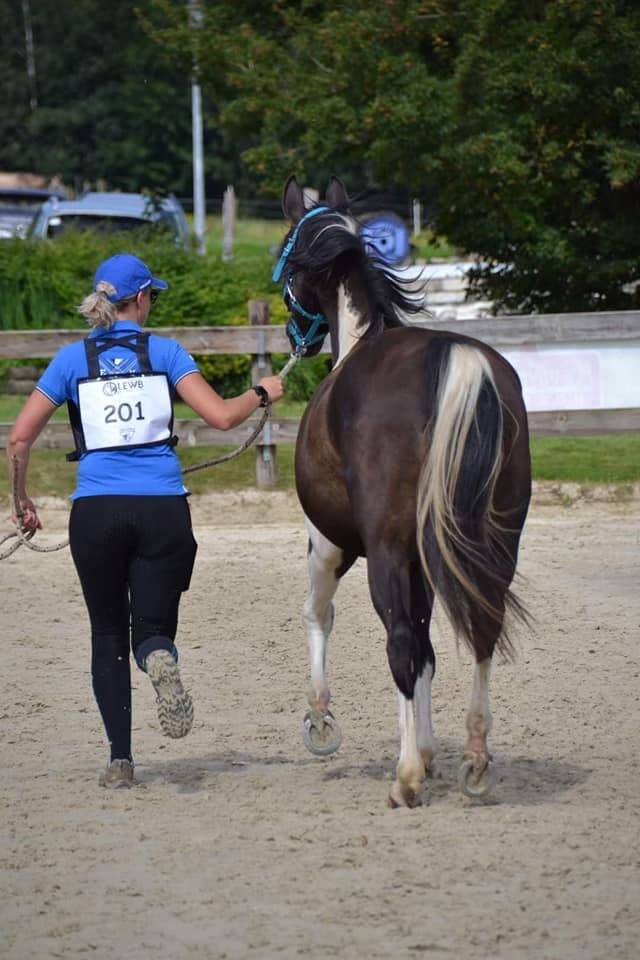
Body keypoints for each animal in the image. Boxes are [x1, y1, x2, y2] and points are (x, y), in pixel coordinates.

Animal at [274, 176, 531, 807]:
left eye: (287, 258)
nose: (294, 337)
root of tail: (454, 361)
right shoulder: (426, 562)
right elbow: (430, 653)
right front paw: (434, 751)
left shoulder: (330, 546)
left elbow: (320, 615)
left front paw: (322, 723)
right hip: (493, 546)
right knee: (481, 631)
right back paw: (474, 760)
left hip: (386, 553)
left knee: (397, 644)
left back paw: (406, 778)